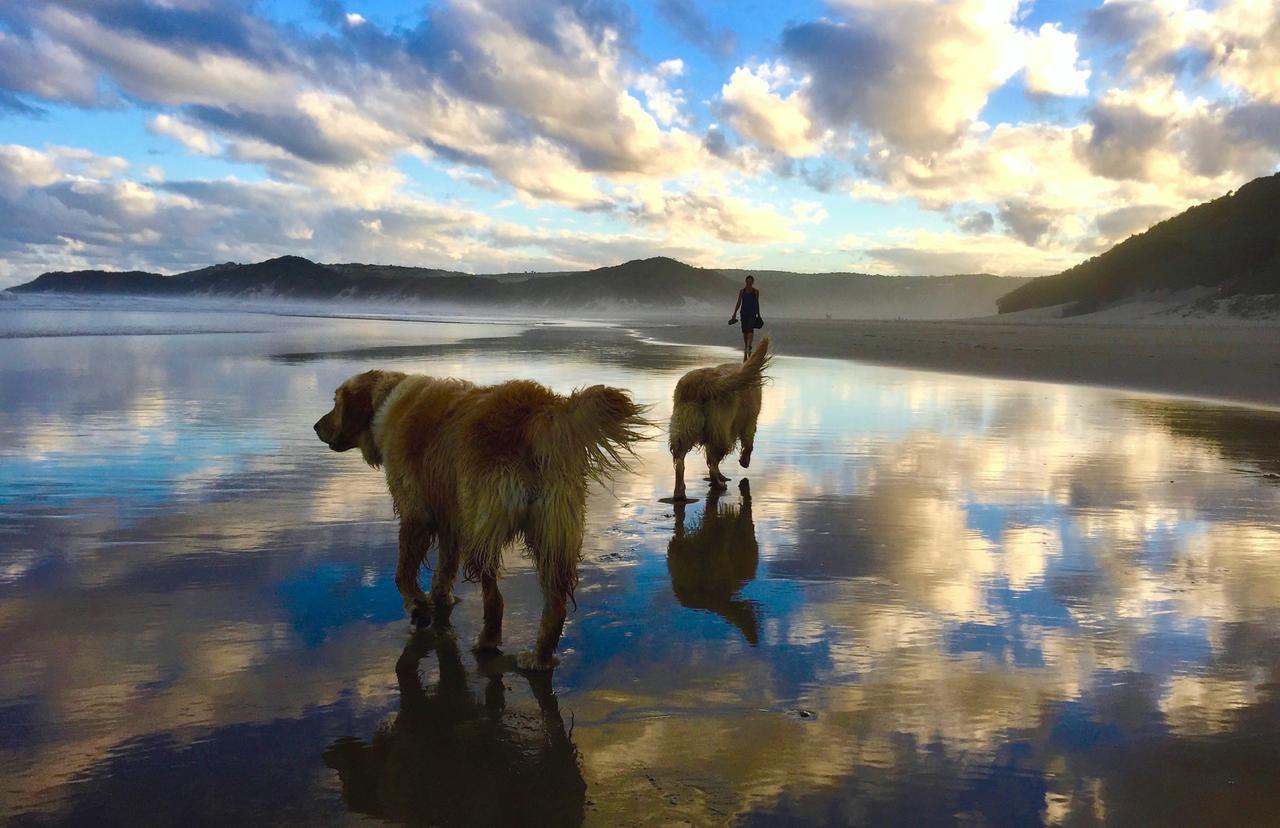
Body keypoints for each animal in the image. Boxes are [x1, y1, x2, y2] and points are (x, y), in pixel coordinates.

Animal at [314, 373, 645, 670]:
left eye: (336, 402)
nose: (316, 426)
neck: (388, 402)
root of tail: (538, 411)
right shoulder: (449, 519)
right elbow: (445, 566)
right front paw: (440, 598)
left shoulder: (416, 512)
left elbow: (403, 572)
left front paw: (418, 606)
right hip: (551, 532)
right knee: (556, 604)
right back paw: (539, 658)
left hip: (482, 523)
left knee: (493, 596)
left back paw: (487, 640)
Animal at [670, 335, 768, 501]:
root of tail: (704, 384)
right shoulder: (749, 422)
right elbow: (749, 445)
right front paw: (744, 461)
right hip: (720, 431)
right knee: (713, 462)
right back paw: (718, 484)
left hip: (684, 429)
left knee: (681, 463)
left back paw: (680, 492)